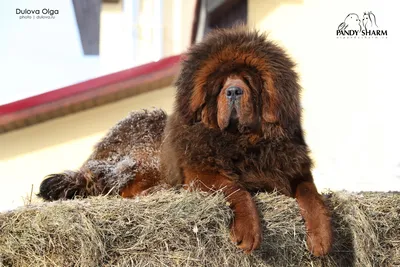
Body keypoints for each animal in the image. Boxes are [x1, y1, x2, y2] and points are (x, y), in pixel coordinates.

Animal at [38, 27, 332, 258]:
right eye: (221, 83)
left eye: (248, 81)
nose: (233, 91)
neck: (243, 143)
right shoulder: (202, 173)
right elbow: (236, 189)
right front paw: (248, 230)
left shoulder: (294, 172)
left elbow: (311, 195)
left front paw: (322, 236)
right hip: (144, 156)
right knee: (122, 191)